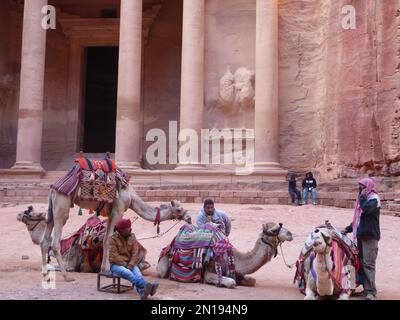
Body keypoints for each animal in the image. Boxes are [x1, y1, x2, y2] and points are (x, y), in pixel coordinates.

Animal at [40, 186, 191, 282]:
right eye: (178, 209)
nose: (189, 217)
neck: (131, 196)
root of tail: (53, 188)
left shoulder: (111, 212)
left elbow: (106, 239)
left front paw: (103, 269)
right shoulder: (118, 210)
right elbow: (109, 239)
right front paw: (108, 270)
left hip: (51, 208)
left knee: (45, 240)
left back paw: (46, 273)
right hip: (62, 205)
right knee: (55, 243)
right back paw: (67, 277)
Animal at [157, 222, 294, 288]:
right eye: (274, 230)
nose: (290, 234)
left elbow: (252, 280)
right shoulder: (210, 269)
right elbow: (231, 282)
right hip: (164, 265)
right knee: (163, 273)